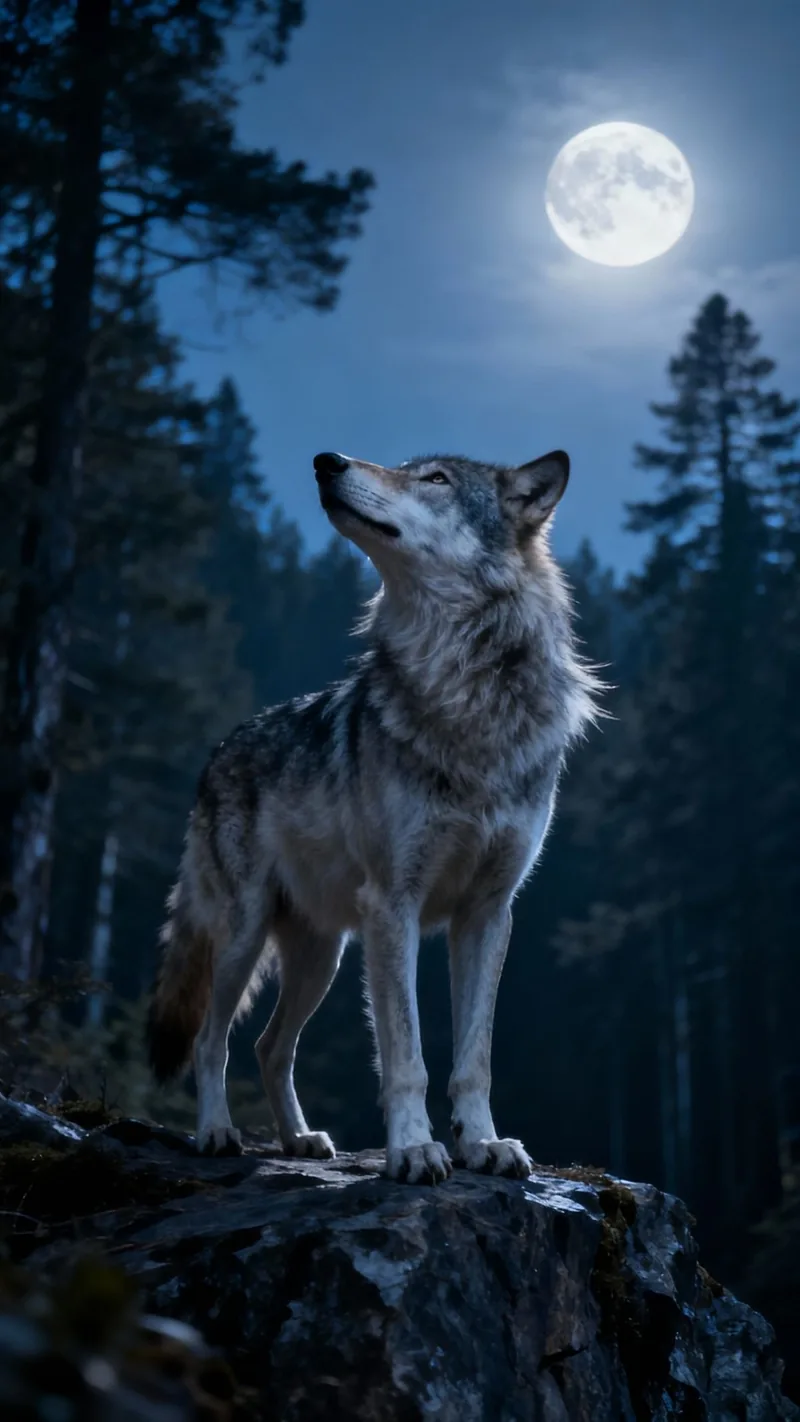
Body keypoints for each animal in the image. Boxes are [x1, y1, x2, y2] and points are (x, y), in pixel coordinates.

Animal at [147, 447, 599, 1184]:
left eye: (436, 479)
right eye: (409, 466)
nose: (326, 461)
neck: (465, 698)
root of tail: (219, 750)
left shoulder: (488, 913)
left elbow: (475, 1058)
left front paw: (484, 1143)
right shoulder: (396, 905)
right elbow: (406, 1056)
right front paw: (414, 1149)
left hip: (322, 957)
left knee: (270, 1046)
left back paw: (300, 1141)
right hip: (246, 935)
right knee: (214, 1039)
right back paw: (215, 1132)